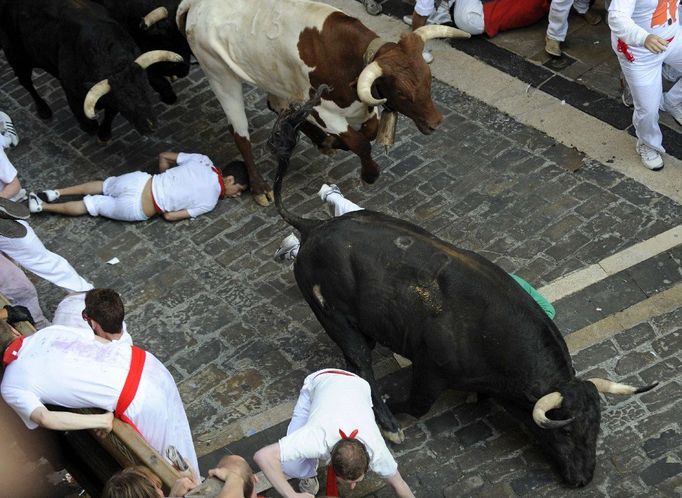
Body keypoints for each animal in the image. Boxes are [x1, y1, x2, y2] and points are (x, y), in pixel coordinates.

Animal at [178, 0, 470, 204]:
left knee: (277, 106)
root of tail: (194, 4)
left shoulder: (358, 107)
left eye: (428, 79)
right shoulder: (323, 110)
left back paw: (318, 140)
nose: (436, 122)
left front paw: (331, 142)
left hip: (271, 76)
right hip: (221, 76)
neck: (348, 58)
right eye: (401, 92)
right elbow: (360, 143)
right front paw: (370, 173)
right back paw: (260, 188)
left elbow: (369, 132)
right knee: (240, 134)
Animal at [268, 94, 656, 486]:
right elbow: (417, 404)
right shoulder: (429, 370)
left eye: (597, 426)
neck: (492, 336)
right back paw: (390, 425)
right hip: (335, 319)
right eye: (564, 430)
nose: (583, 478)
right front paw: (396, 409)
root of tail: (313, 228)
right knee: (360, 360)